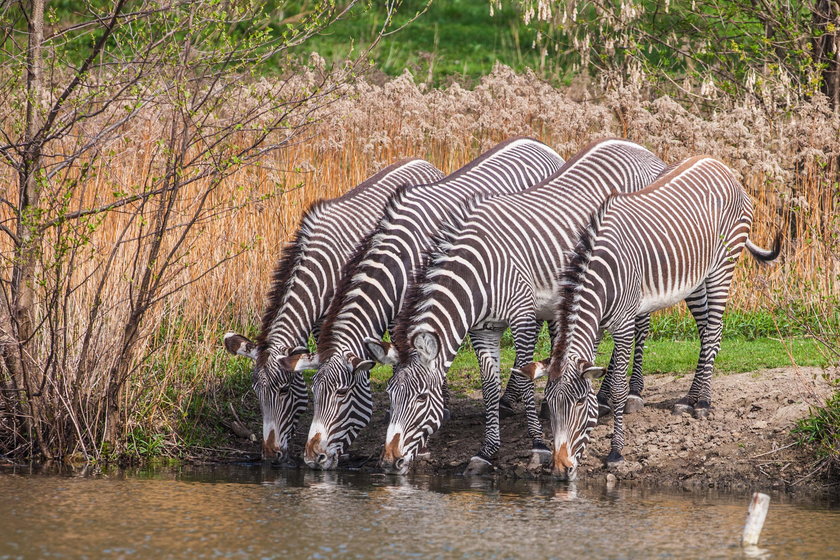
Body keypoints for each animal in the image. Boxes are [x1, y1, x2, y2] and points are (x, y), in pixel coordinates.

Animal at [374, 138, 668, 474]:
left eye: (421, 398)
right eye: (390, 395)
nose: (389, 462)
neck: (478, 270)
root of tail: (639, 148)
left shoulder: (523, 317)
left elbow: (526, 380)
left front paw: (538, 445)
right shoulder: (483, 329)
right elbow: (489, 386)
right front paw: (486, 451)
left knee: (640, 328)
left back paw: (630, 394)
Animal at [516, 155, 784, 480]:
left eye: (580, 403)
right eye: (551, 406)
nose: (559, 469)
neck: (601, 275)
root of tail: (717, 162)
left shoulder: (622, 324)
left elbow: (618, 388)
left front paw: (615, 452)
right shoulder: (595, 327)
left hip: (723, 264)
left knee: (713, 331)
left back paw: (703, 402)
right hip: (694, 280)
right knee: (707, 331)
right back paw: (688, 399)